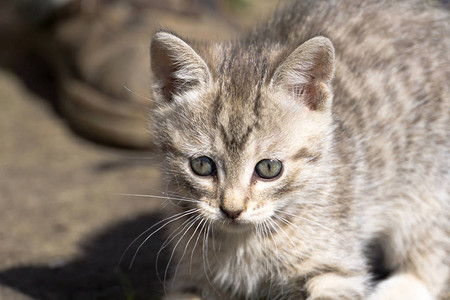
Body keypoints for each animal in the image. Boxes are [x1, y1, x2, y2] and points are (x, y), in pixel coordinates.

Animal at [150, 0, 450, 300]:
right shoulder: (191, 274)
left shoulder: (337, 264)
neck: (244, 243)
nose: (232, 211)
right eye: (202, 165)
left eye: (269, 168)